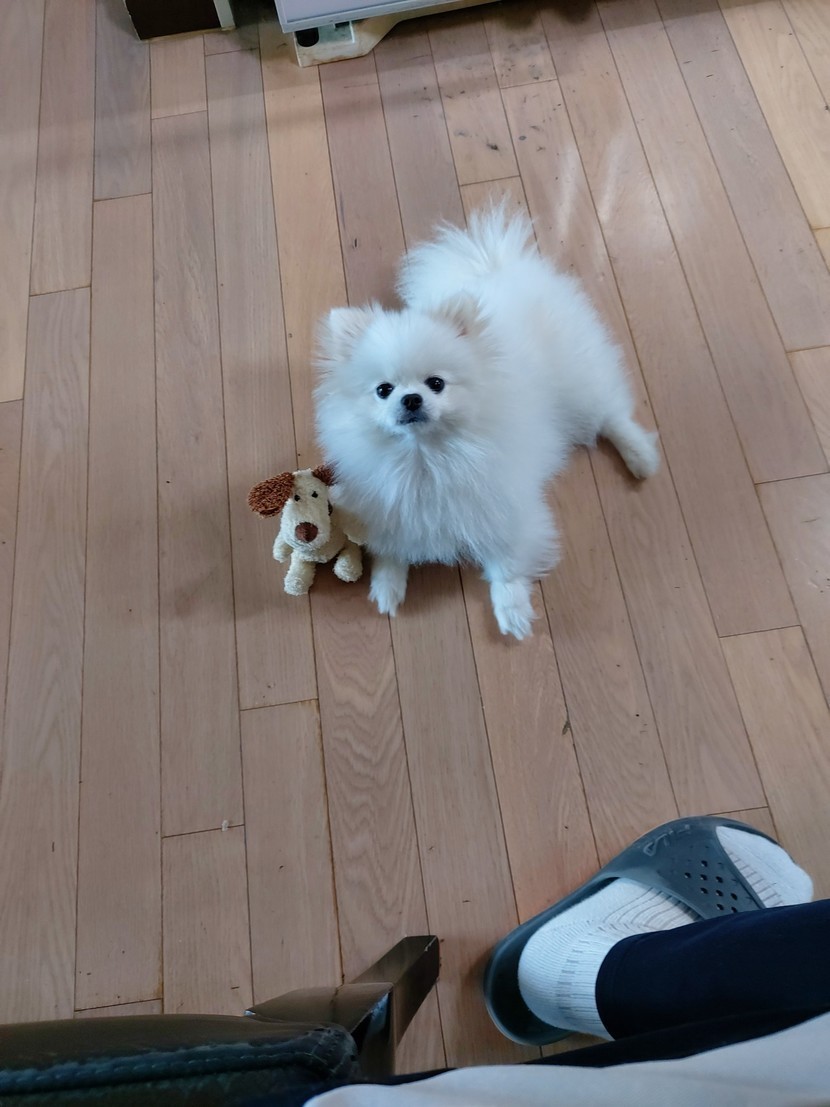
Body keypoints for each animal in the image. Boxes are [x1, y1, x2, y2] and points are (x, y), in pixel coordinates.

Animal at [314, 207, 659, 639]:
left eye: (436, 384)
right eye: (383, 390)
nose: (411, 399)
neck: (425, 457)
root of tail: (495, 265)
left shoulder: (503, 506)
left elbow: (506, 565)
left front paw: (512, 610)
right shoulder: (390, 505)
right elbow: (392, 548)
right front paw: (387, 586)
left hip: (580, 381)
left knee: (611, 415)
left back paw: (640, 456)